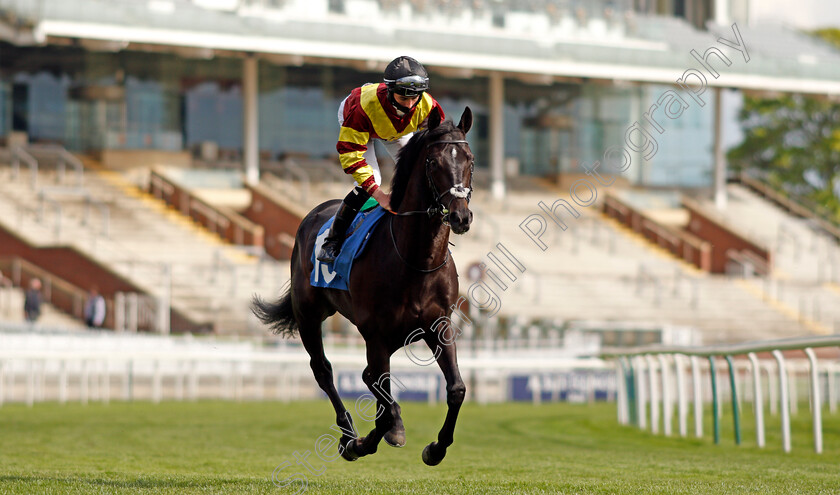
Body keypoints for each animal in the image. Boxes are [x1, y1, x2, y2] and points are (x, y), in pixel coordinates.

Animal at [253, 106, 472, 466]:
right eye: (433, 162)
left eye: (470, 159)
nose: (460, 216)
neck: (415, 260)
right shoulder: (376, 333)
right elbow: (382, 408)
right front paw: (363, 442)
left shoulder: (438, 324)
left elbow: (456, 389)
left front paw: (435, 448)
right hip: (309, 315)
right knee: (324, 371)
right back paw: (348, 434)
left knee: (369, 377)